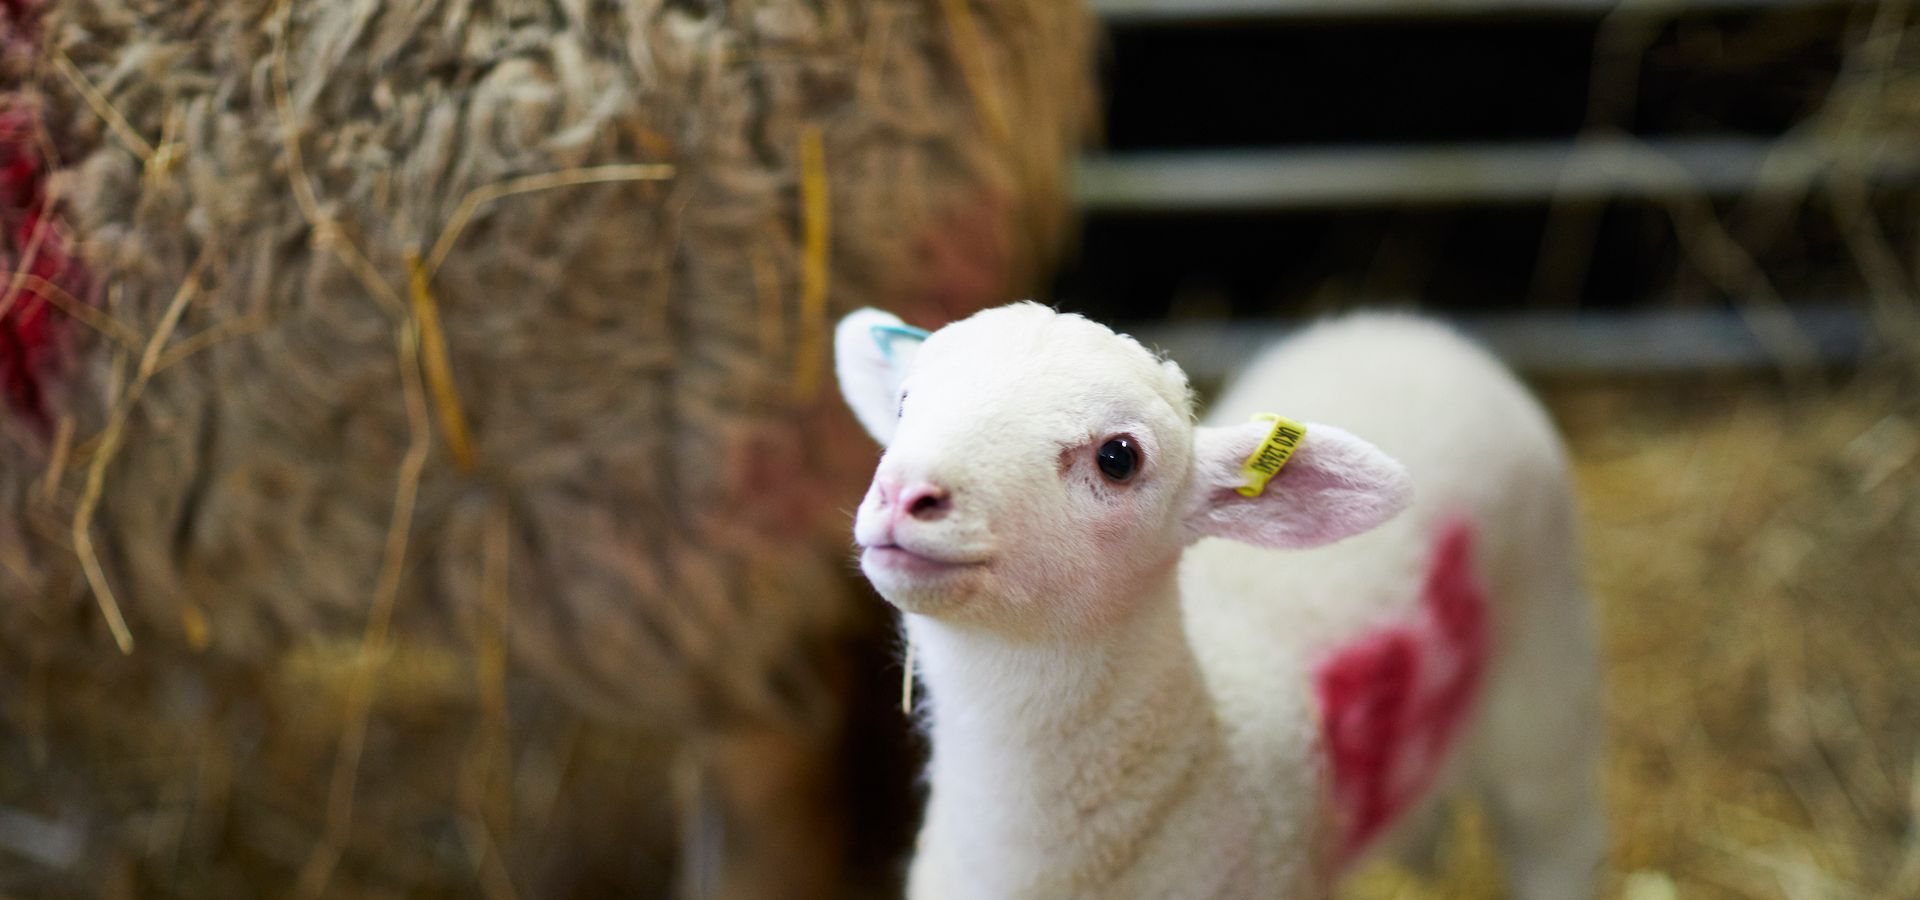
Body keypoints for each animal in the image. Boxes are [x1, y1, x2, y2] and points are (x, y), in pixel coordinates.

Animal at [837, 303, 1605, 898]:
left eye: (1119, 458)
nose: (905, 495)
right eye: (904, 403)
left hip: (1547, 662)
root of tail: (1422, 332)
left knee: (1558, 829)